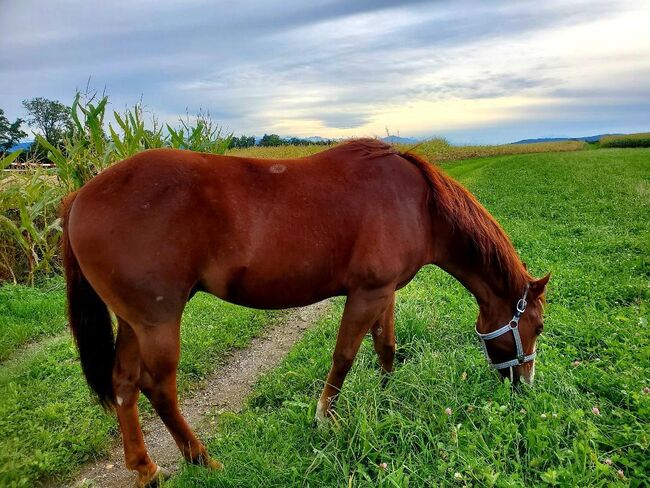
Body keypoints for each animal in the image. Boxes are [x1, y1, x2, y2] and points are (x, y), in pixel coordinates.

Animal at [60, 139, 548, 486]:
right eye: (538, 325)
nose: (524, 386)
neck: (420, 204)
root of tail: (79, 195)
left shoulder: (385, 292)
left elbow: (386, 347)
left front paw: (386, 397)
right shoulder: (367, 294)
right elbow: (345, 356)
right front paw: (324, 419)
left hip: (132, 322)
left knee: (124, 384)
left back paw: (146, 469)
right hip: (157, 322)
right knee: (158, 388)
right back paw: (204, 461)